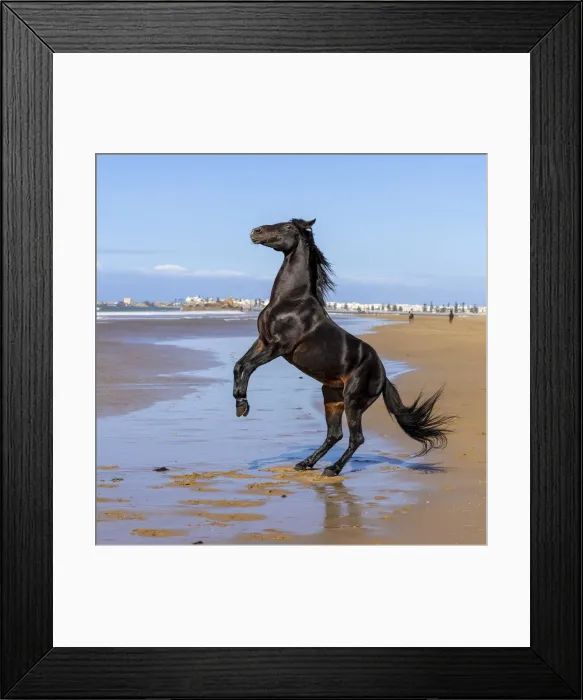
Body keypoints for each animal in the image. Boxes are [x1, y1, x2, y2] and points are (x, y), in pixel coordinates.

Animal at [233, 218, 453, 477]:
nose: (255, 232)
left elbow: (249, 366)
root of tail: (383, 376)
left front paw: (242, 404)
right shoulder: (263, 340)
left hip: (353, 400)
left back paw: (332, 469)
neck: (291, 301)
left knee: (356, 438)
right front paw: (239, 403)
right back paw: (306, 463)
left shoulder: (279, 346)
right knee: (334, 434)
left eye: (288, 227)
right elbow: (239, 365)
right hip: (332, 397)